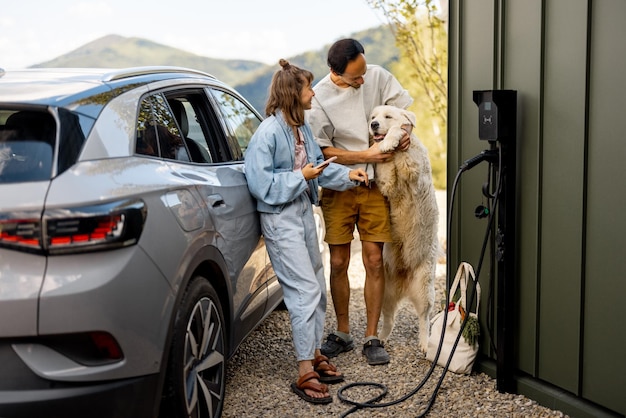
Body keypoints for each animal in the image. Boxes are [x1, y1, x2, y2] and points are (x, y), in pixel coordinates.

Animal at [368, 104, 436, 352]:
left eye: (386, 116)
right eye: (373, 116)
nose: (373, 125)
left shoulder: (413, 170)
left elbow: (400, 131)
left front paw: (390, 139)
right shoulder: (387, 182)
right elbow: (386, 171)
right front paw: (383, 146)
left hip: (424, 286)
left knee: (424, 319)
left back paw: (425, 344)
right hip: (385, 292)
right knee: (389, 317)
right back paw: (381, 338)